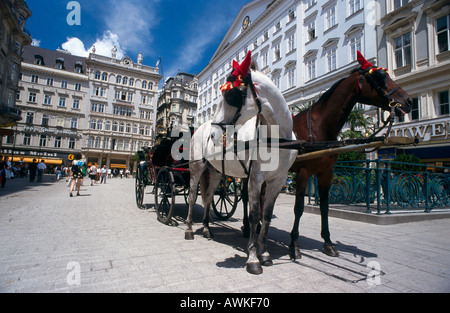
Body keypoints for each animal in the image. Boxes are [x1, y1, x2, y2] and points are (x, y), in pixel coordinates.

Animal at [185, 51, 298, 272]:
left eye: (231, 95)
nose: (213, 135)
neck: (277, 138)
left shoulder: (278, 181)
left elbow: (266, 216)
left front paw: (264, 253)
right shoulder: (255, 178)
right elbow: (254, 216)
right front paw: (253, 258)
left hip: (216, 172)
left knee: (208, 197)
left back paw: (206, 228)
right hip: (197, 168)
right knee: (193, 196)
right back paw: (189, 229)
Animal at [288, 51, 412, 258]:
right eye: (379, 76)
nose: (408, 100)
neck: (319, 126)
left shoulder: (326, 172)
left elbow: (324, 207)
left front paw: (328, 242)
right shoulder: (304, 171)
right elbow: (298, 208)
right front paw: (294, 244)